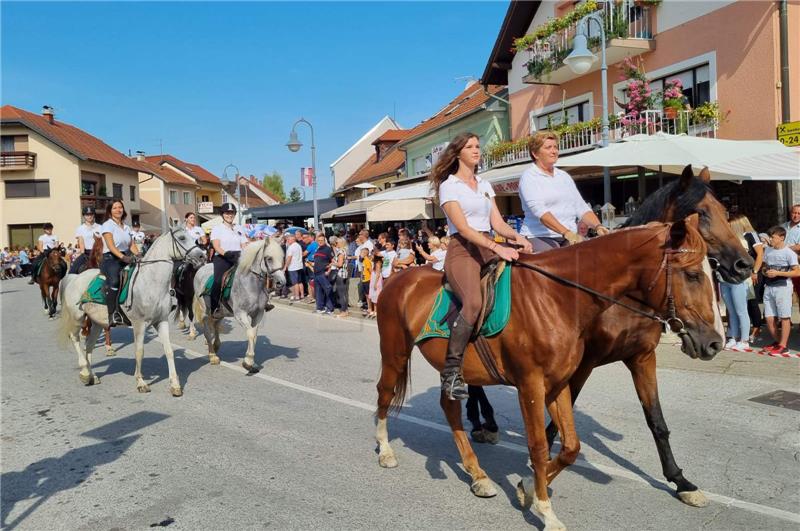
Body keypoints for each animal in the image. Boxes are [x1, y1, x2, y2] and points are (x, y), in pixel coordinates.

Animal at [59, 227, 206, 396]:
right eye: (182, 238)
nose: (202, 256)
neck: (150, 282)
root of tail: (74, 277)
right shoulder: (139, 324)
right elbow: (139, 351)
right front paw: (141, 382)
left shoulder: (161, 321)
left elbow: (169, 350)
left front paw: (175, 385)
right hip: (78, 317)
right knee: (75, 339)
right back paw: (84, 372)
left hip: (97, 322)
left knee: (89, 345)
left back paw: (92, 376)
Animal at [192, 239, 286, 372]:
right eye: (269, 258)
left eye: (282, 258)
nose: (281, 283)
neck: (251, 285)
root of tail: (202, 268)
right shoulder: (241, 314)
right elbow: (250, 333)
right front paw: (248, 362)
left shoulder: (258, 314)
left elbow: (254, 335)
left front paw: (251, 362)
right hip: (206, 311)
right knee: (207, 331)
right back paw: (212, 356)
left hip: (220, 312)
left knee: (216, 326)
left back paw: (216, 346)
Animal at [374, 217, 720, 531]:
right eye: (691, 274)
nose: (714, 342)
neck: (557, 297)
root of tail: (398, 279)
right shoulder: (531, 385)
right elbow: (539, 446)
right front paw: (546, 512)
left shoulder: (560, 383)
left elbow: (571, 447)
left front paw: (526, 487)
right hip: (394, 354)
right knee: (385, 394)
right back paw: (386, 451)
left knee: (449, 407)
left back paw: (478, 475)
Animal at [466, 166, 752, 508]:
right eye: (702, 213)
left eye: (724, 210)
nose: (745, 264)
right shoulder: (583, 364)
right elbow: (560, 416)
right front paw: (538, 468)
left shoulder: (642, 358)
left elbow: (657, 421)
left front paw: (680, 481)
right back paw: (483, 421)